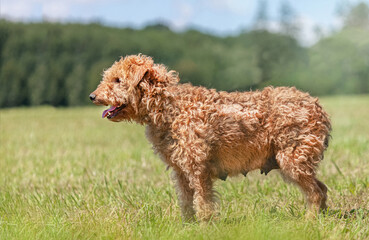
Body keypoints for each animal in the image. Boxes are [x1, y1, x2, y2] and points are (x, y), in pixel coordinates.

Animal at [89, 54, 330, 221]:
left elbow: (203, 202)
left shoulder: (198, 168)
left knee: (316, 193)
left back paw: (309, 221)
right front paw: (187, 226)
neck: (168, 107)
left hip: (293, 159)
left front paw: (204, 226)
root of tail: (319, 109)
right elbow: (187, 202)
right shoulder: (181, 170)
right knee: (323, 189)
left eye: (118, 80)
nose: (92, 96)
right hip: (298, 162)